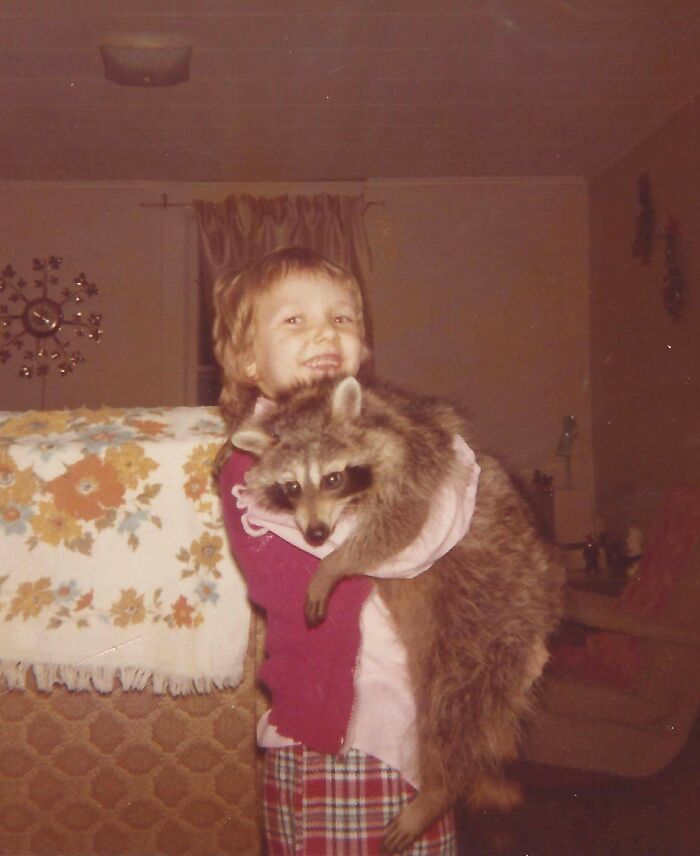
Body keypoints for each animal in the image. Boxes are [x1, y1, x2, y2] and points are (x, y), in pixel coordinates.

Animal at [232, 378, 568, 852]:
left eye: (333, 478)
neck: (311, 402)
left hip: (494, 607)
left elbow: (401, 521)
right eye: (292, 487)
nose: (316, 535)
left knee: (455, 696)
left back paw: (443, 786)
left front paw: (332, 565)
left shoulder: (415, 457)